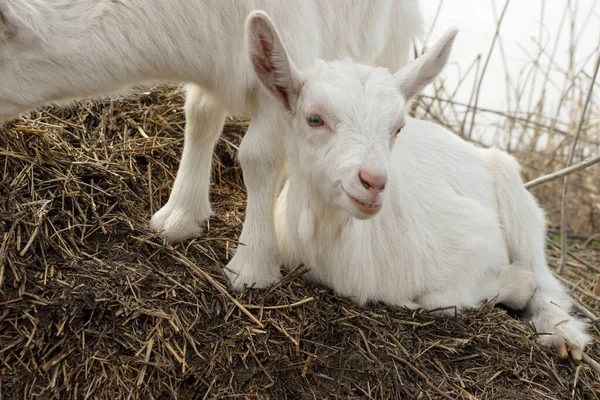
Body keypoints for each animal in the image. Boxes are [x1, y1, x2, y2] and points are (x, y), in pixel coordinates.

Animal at [0, 1, 422, 292]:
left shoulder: (283, 73)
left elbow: (258, 158)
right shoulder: (215, 70)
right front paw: (180, 216)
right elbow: (200, 119)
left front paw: (251, 266)